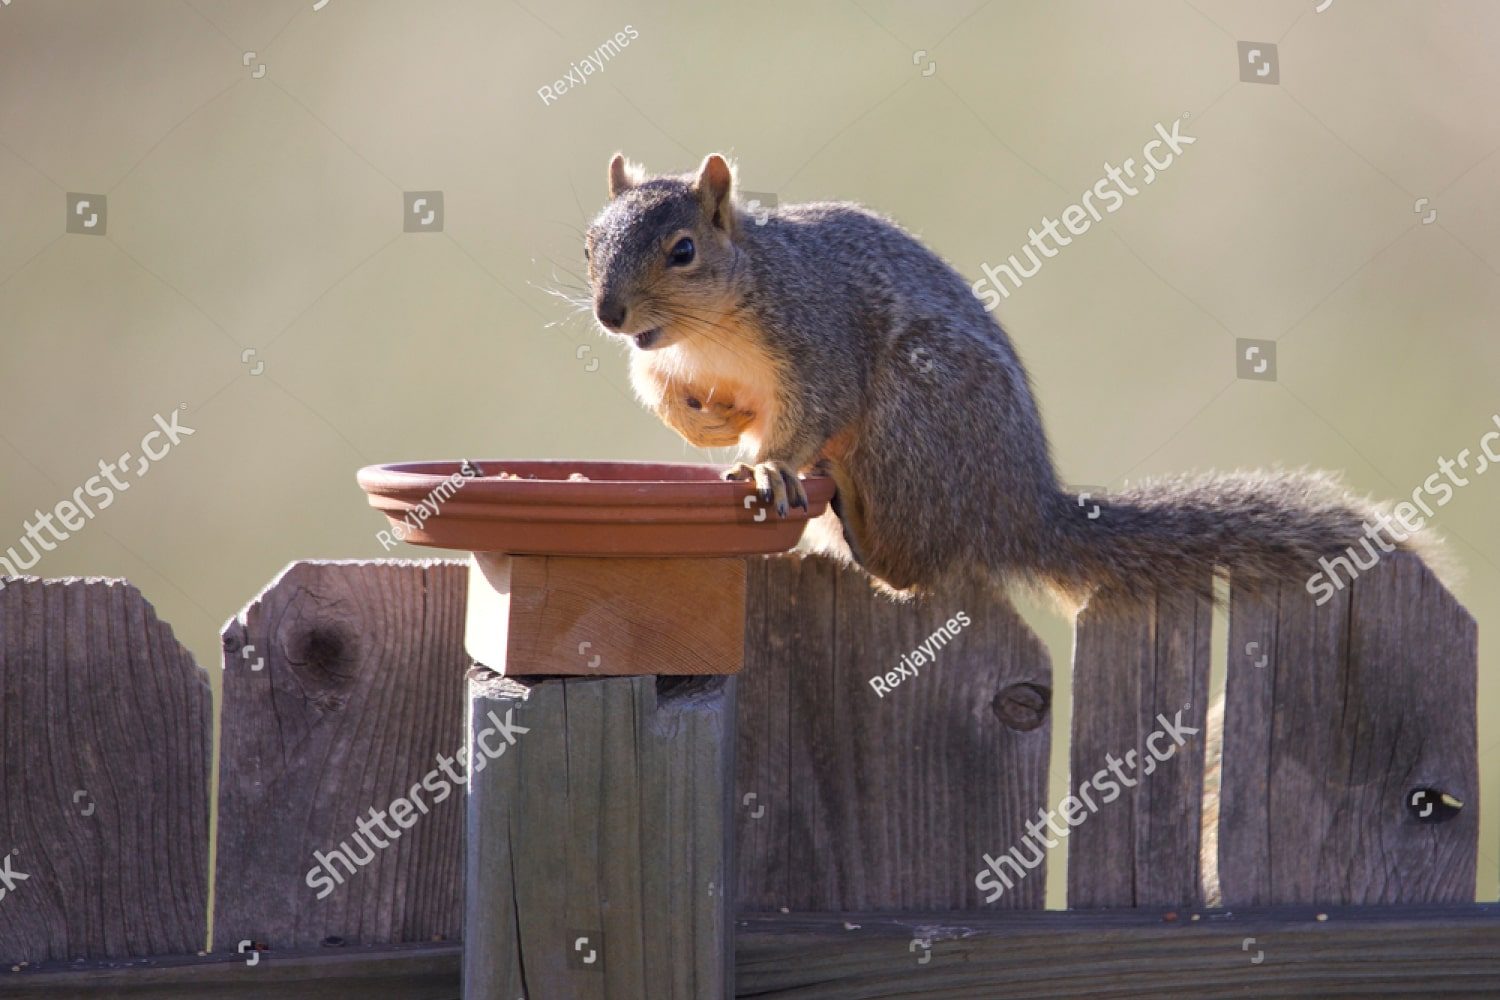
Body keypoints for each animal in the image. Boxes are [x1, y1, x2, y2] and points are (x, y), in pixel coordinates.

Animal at [584, 152, 1435, 611]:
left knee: (925, 567)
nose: (609, 312)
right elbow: (662, 394)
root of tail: (1022, 509)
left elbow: (813, 411)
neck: (706, 335)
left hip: (919, 416)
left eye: (684, 251)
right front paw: (709, 423)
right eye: (590, 242)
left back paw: (859, 528)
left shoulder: (818, 340)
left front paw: (766, 466)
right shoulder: (660, 362)